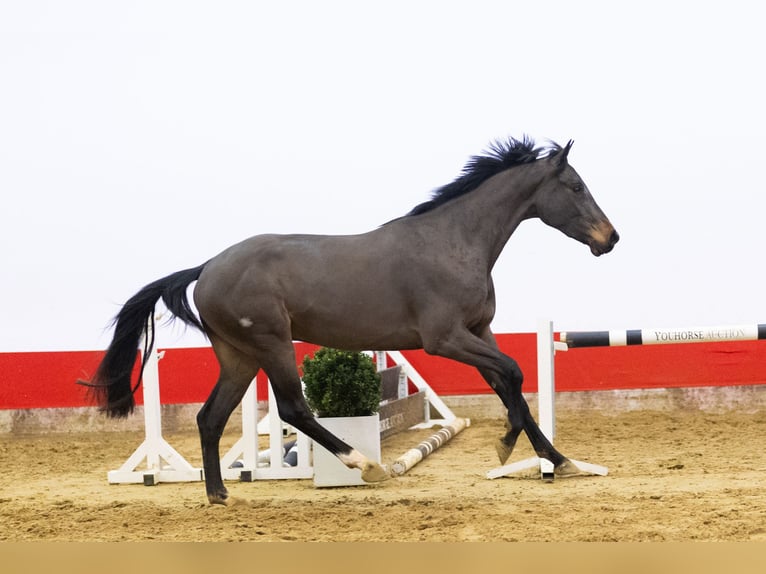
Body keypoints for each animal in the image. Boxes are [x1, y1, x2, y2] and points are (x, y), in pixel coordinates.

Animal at [80, 136, 619, 505]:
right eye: (575, 186)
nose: (610, 238)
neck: (455, 242)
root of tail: (206, 267)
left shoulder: (478, 332)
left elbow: (509, 384)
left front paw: (559, 460)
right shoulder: (445, 339)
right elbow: (514, 373)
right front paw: (509, 447)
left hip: (239, 356)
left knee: (210, 417)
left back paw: (219, 495)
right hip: (272, 344)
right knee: (293, 408)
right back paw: (364, 465)